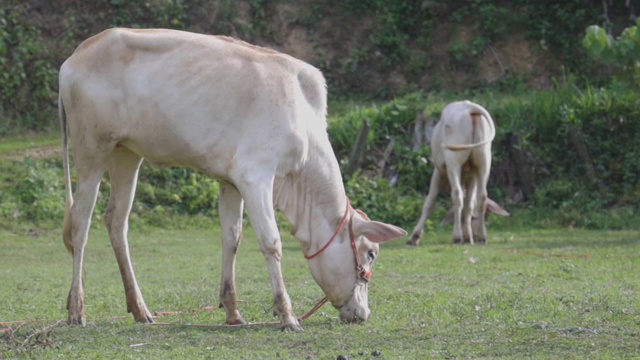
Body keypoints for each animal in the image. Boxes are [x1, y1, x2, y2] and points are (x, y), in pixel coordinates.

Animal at [58, 28, 404, 332]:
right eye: (371, 252)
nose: (363, 313)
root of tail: (77, 54)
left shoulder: (231, 181)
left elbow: (232, 238)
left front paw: (233, 312)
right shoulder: (256, 177)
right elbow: (271, 242)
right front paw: (287, 316)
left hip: (126, 154)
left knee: (117, 222)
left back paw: (140, 309)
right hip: (91, 151)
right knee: (80, 226)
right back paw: (77, 311)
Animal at [408, 101, 508, 248]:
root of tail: (470, 107)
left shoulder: (438, 172)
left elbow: (430, 202)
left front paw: (415, 236)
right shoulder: (471, 175)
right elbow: (469, 204)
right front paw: (468, 236)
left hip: (453, 160)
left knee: (457, 195)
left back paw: (456, 236)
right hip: (483, 162)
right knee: (481, 196)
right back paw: (482, 236)